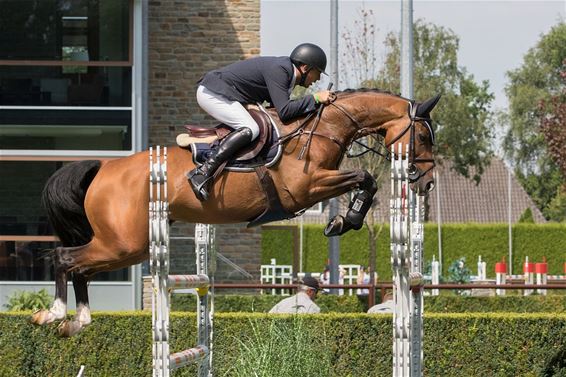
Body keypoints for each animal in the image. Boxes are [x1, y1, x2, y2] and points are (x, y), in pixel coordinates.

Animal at [32, 89, 444, 336]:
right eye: (424, 136)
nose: (426, 184)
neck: (323, 128)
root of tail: (103, 167)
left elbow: (364, 181)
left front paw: (343, 219)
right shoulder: (305, 189)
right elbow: (365, 179)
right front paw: (346, 219)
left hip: (127, 245)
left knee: (79, 266)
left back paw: (78, 321)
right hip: (124, 244)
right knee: (65, 257)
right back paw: (55, 314)